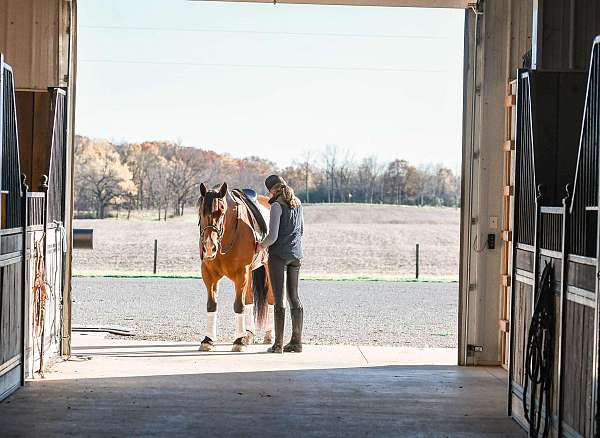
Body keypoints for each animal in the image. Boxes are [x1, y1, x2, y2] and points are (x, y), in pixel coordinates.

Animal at [197, 181, 274, 352]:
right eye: (200, 210)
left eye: (222, 211)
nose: (209, 247)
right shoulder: (209, 275)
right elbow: (211, 305)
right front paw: (208, 340)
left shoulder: (241, 274)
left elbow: (239, 305)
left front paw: (238, 341)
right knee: (250, 299)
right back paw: (249, 334)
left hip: (267, 268)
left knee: (272, 299)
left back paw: (269, 335)